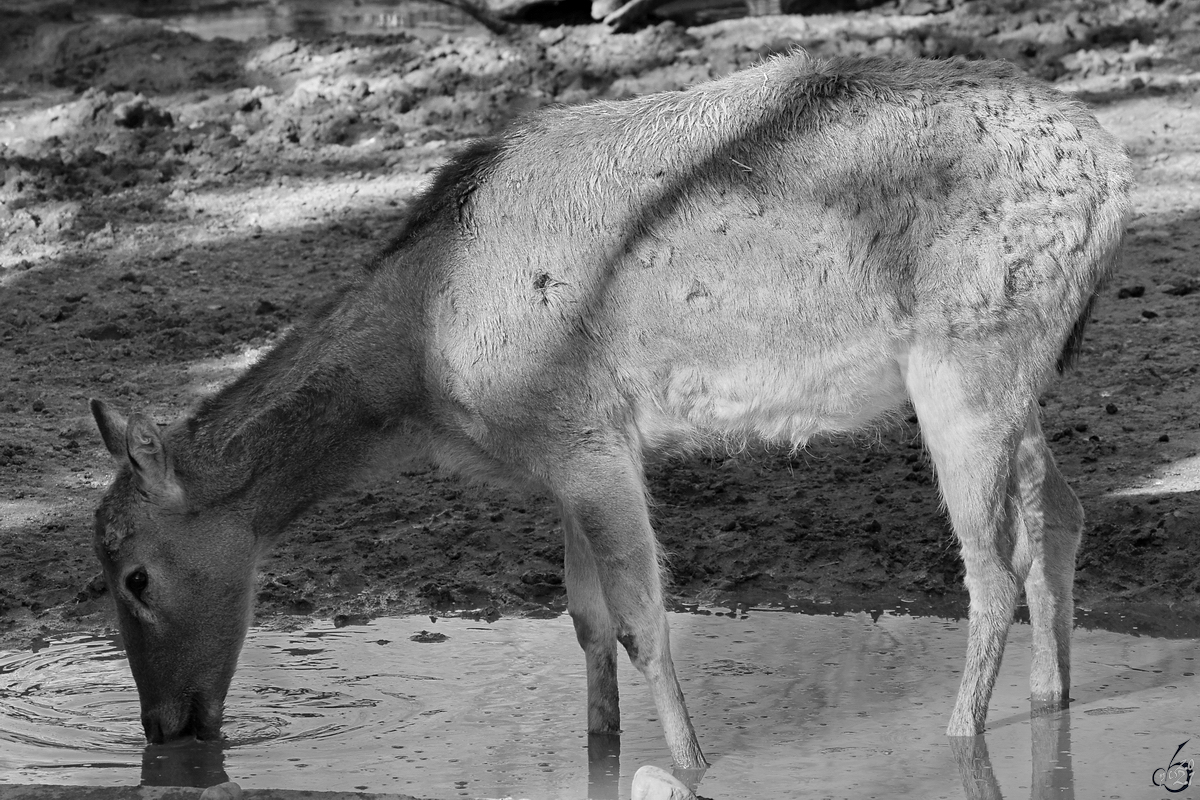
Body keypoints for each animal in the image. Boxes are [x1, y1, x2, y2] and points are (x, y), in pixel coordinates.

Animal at [88, 54, 1128, 767]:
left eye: (134, 574)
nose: (163, 725)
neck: (422, 359)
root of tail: (1118, 181)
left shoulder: (588, 436)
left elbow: (640, 617)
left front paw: (694, 762)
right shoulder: (561, 455)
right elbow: (585, 618)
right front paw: (600, 747)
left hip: (965, 361)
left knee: (991, 569)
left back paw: (957, 742)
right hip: (1012, 373)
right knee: (1061, 514)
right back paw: (1051, 702)